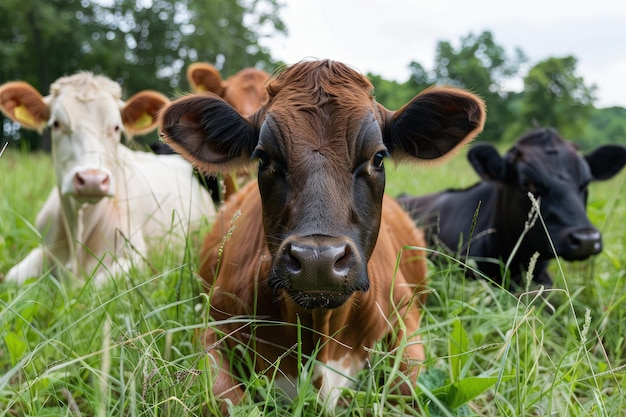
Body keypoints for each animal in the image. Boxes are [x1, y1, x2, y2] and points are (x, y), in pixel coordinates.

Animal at [0, 73, 214, 284]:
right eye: (56, 124)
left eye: (117, 127)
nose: (91, 180)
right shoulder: (43, 251)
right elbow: (12, 277)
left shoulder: (136, 260)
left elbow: (99, 283)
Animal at [160, 60, 482, 412]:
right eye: (264, 157)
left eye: (378, 157)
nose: (318, 260)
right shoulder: (211, 326)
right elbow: (223, 398)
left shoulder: (405, 319)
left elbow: (407, 388)